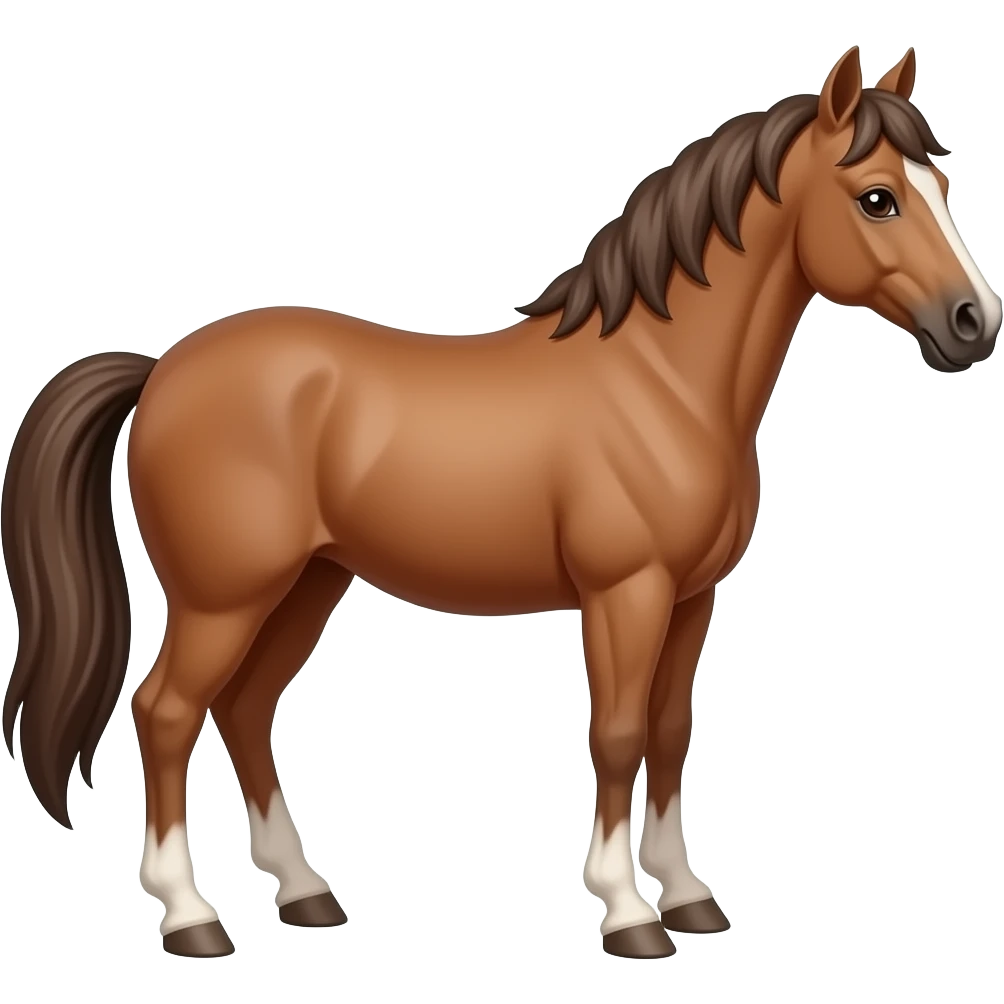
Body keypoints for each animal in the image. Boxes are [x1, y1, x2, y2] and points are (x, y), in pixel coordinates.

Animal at [1, 44, 999, 960]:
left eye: (942, 183)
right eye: (878, 197)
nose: (974, 323)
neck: (662, 383)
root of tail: (162, 369)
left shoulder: (691, 597)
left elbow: (671, 732)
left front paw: (687, 897)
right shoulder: (626, 593)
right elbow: (619, 733)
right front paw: (628, 913)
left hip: (307, 584)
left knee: (243, 710)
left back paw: (306, 893)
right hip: (224, 597)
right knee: (167, 712)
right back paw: (190, 916)